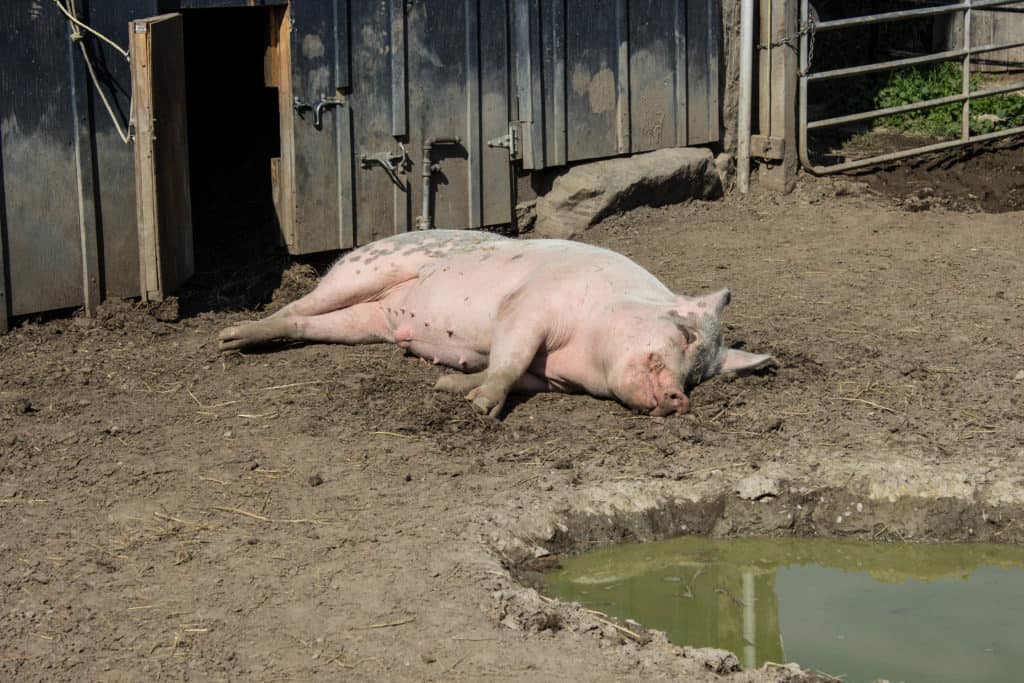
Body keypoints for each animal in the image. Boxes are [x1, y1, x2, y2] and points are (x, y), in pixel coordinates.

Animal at [218, 231, 774, 417]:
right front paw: (481, 408)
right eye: (684, 335)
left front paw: (448, 386)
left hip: (366, 321)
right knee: (296, 308)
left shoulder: (550, 377)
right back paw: (227, 340)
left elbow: (513, 372)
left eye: (701, 377)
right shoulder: (527, 307)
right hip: (362, 272)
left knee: (309, 324)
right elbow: (508, 360)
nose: (680, 397)